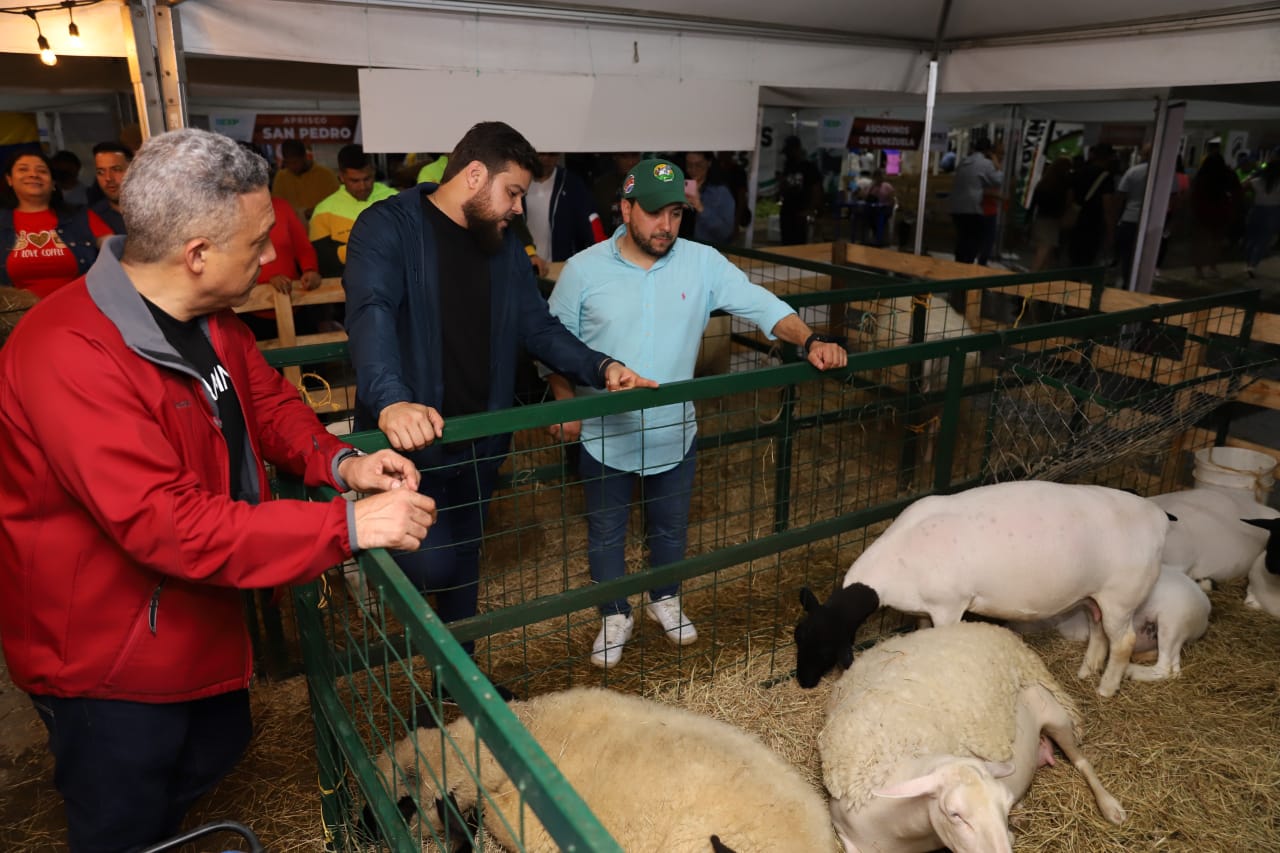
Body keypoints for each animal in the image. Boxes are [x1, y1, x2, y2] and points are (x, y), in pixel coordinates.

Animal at [793, 479, 1172, 691]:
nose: (803, 682)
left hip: (1123, 596)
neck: (897, 561)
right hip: (1096, 595)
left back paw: (1106, 688)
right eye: (798, 637)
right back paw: (1085, 671)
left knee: (1123, 641)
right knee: (1098, 630)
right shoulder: (925, 609)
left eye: (826, 651)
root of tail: (1157, 517)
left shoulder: (948, 607)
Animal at [819, 617, 1121, 850]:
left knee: (1082, 761)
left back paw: (1111, 807)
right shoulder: (844, 831)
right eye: (955, 814)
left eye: (1004, 805)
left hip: (1054, 712)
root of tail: (991, 627)